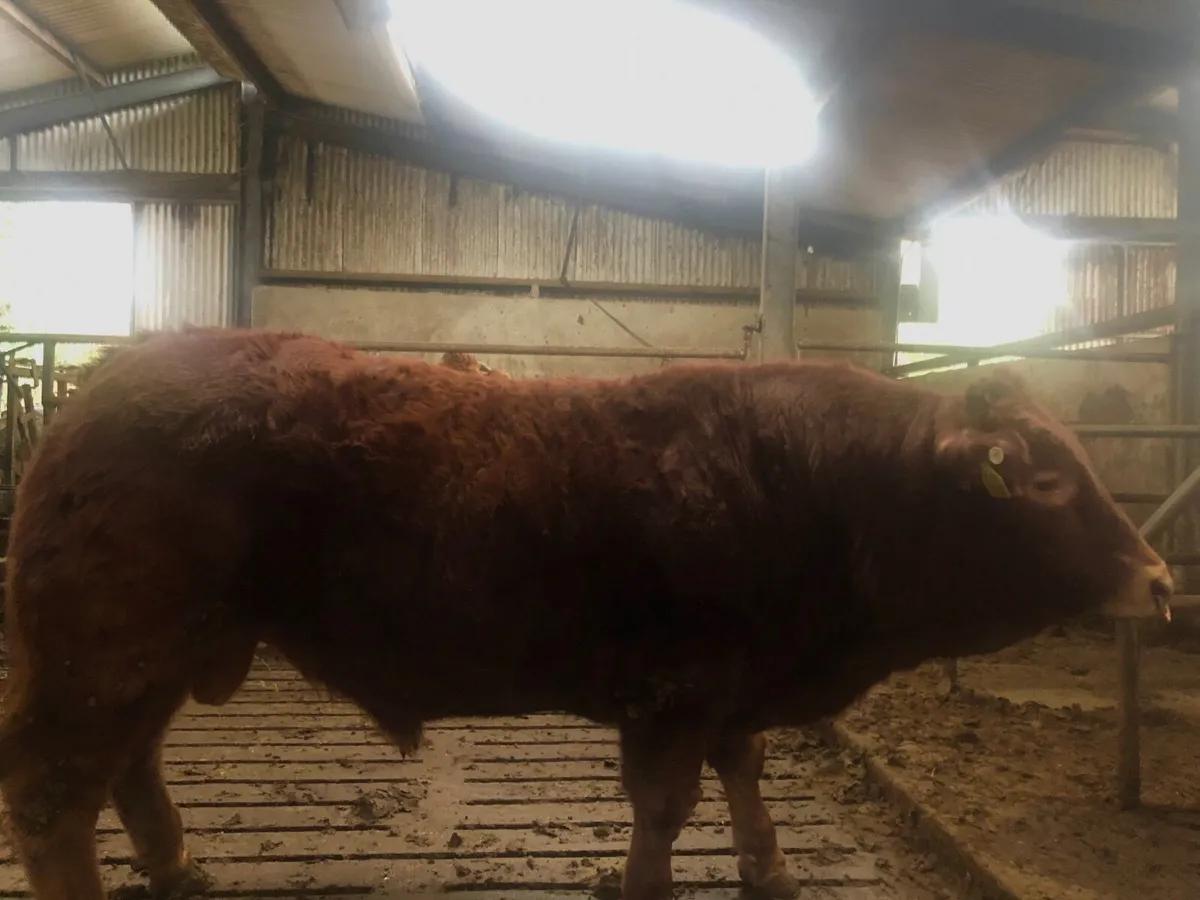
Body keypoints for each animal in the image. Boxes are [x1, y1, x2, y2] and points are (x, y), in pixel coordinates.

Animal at [0, 326, 1170, 900]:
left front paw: (771, 868)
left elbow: (744, 775)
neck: (818, 482)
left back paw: (178, 865)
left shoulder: (735, 690)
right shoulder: (675, 691)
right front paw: (650, 884)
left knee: (130, 765)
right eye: (1046, 480)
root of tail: (99, 391)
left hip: (163, 651)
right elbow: (664, 806)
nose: (1160, 580)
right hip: (105, 647)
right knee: (53, 795)